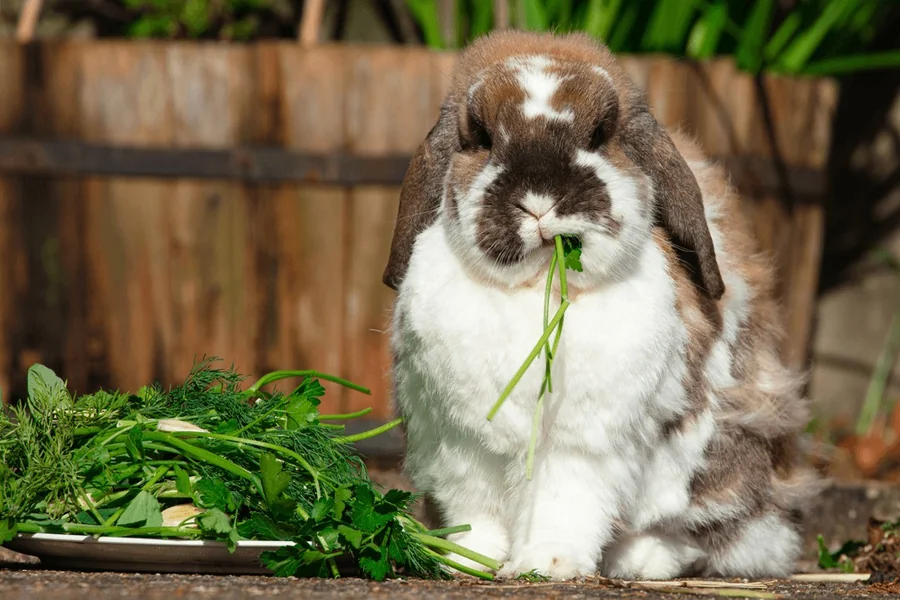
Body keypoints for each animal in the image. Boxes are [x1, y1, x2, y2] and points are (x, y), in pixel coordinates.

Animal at [382, 30, 821, 581]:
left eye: (600, 133)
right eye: (479, 136)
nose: (539, 199)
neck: (537, 294)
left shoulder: (579, 447)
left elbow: (562, 505)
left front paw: (546, 564)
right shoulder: (461, 445)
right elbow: (476, 511)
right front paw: (467, 559)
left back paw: (641, 560)